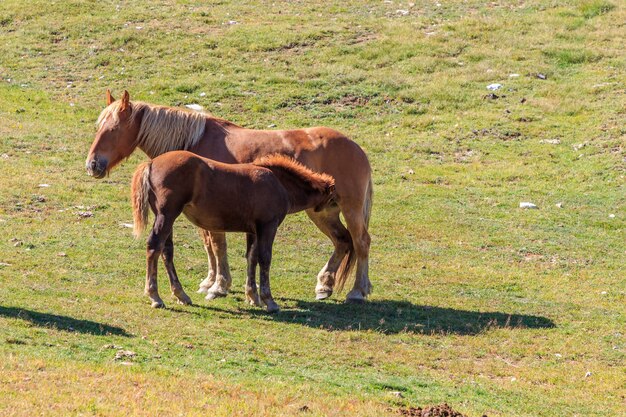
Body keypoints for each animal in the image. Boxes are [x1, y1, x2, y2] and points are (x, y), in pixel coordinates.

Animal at [129, 151, 334, 310]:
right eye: (333, 200)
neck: (278, 182)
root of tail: (151, 163)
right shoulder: (268, 225)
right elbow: (264, 259)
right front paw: (269, 301)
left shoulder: (253, 230)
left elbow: (251, 257)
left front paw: (253, 297)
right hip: (167, 215)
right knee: (154, 247)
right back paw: (155, 296)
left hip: (166, 217)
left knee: (166, 251)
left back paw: (181, 295)